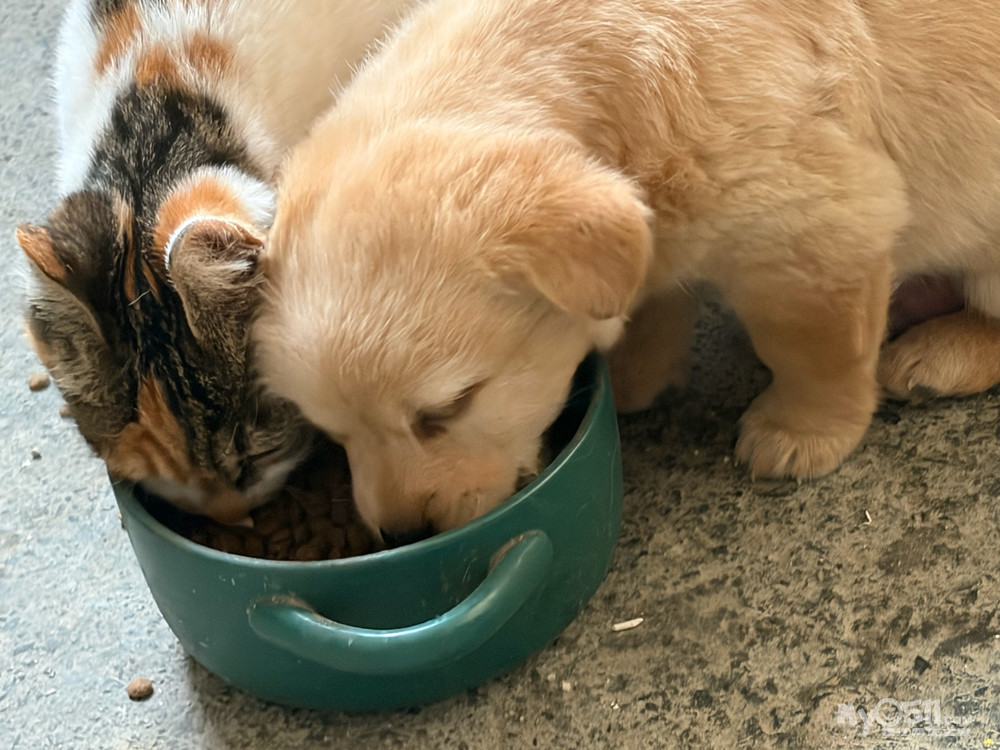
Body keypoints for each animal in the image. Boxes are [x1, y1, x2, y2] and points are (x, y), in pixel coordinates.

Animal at [256, 0, 1000, 540]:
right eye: (329, 431)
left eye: (447, 409)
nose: (405, 534)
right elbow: (643, 299)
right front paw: (635, 373)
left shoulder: (816, 232)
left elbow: (813, 353)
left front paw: (801, 432)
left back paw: (938, 355)